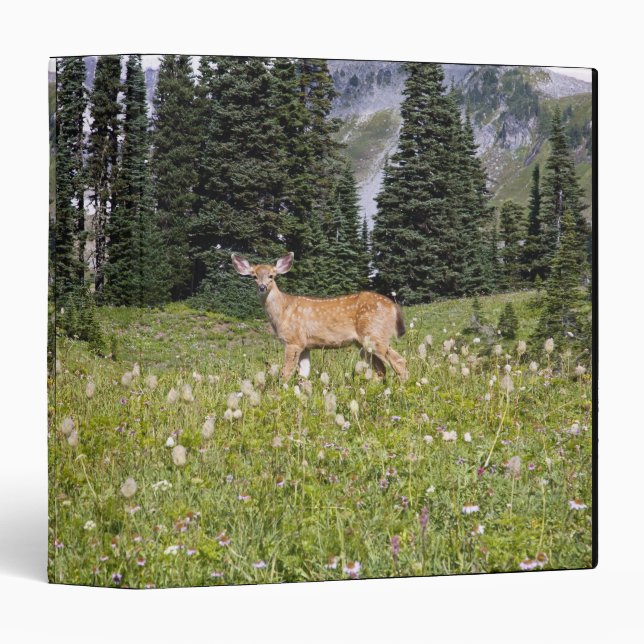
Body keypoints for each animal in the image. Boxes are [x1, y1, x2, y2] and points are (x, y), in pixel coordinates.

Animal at [231, 252, 408, 382]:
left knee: (399, 361)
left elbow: (286, 373)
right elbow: (303, 375)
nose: (262, 287)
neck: (282, 311)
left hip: (374, 334)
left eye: (271, 276)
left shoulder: (293, 340)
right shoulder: (305, 345)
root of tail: (394, 307)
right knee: (381, 368)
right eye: (254, 276)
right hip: (363, 343)